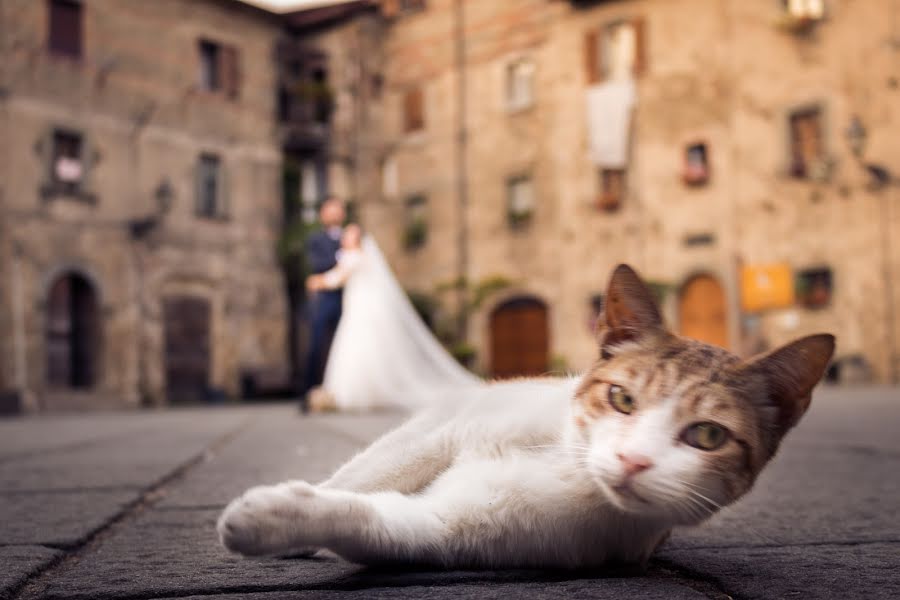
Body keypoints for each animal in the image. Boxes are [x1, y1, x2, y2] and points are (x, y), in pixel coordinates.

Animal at [218, 264, 836, 568]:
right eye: (622, 399)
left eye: (708, 435)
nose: (633, 460)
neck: (565, 460)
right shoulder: (440, 430)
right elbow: (370, 474)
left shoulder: (464, 531)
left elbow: (378, 523)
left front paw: (272, 519)